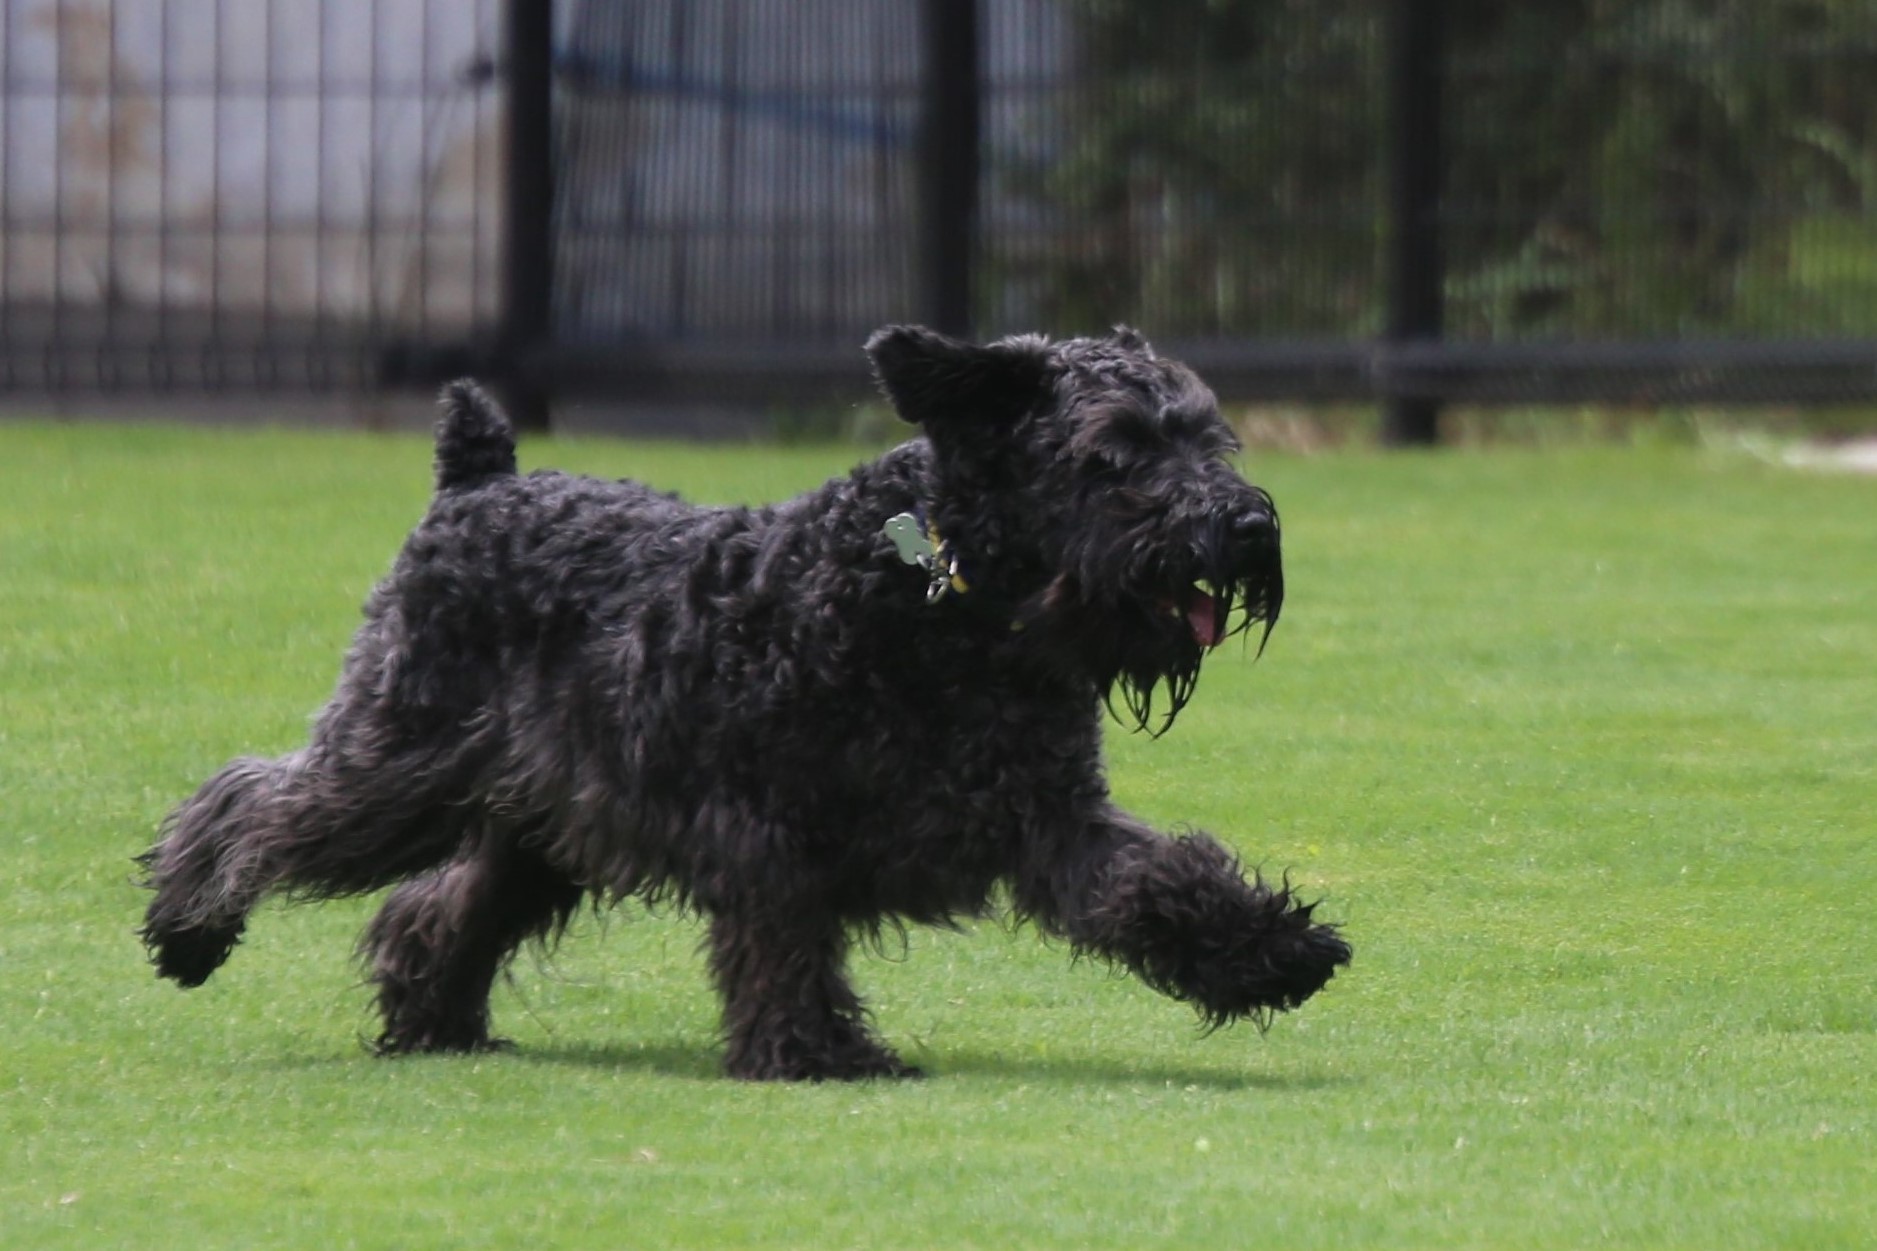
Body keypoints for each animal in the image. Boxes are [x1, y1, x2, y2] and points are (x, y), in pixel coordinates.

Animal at [142, 326, 1351, 1074]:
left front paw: (1270, 951)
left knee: (436, 909)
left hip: (535, 821)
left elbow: (1159, 881)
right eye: (1115, 450)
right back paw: (187, 927)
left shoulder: (1051, 818)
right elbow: (783, 941)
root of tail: (477, 481)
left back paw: (429, 1020)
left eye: (1207, 434)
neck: (939, 596)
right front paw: (817, 1055)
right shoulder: (771, 825)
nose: (1246, 525)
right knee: (254, 805)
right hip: (396, 769)